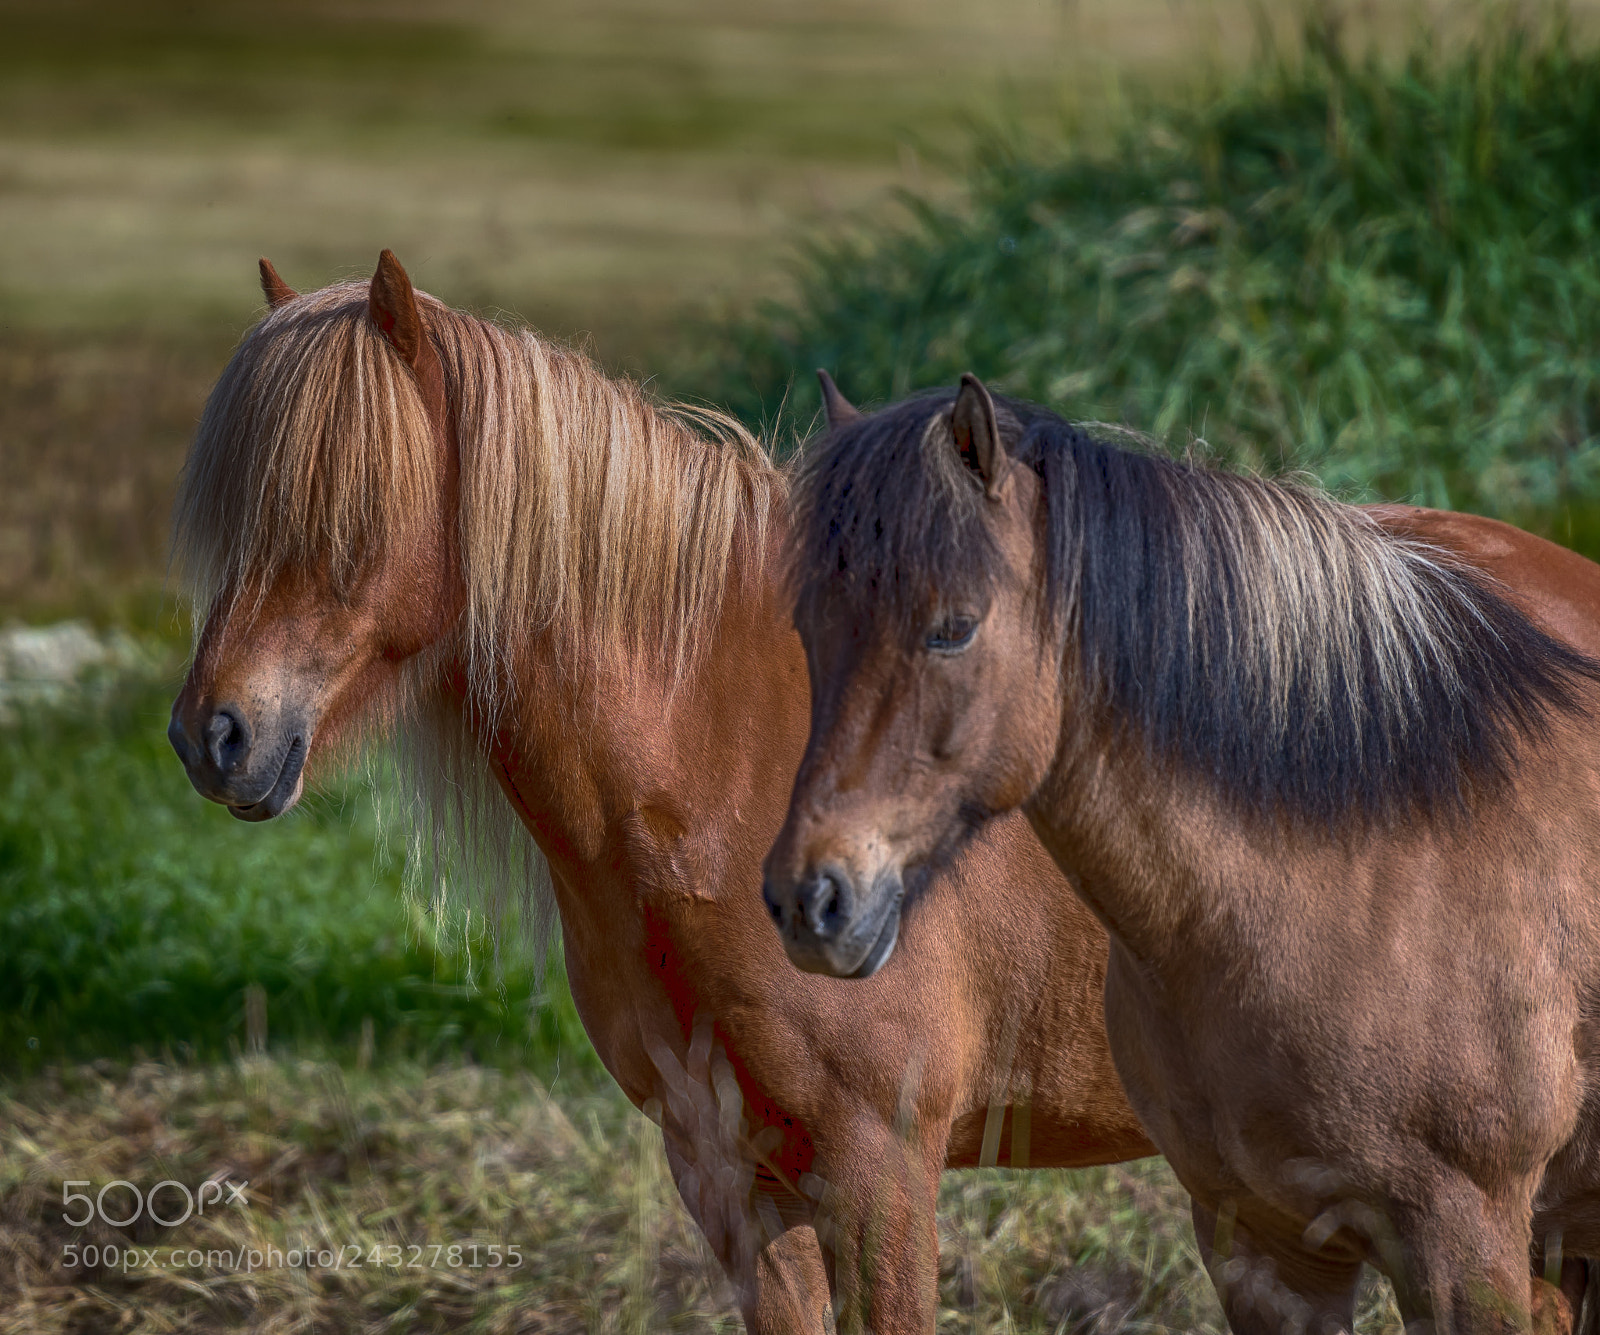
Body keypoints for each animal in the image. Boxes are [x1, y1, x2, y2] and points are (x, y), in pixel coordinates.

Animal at [763, 373, 1600, 1334]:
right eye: (809, 629)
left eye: (954, 627)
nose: (810, 899)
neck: (1370, 874)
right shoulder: (1265, 1251)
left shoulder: (1467, 1250)